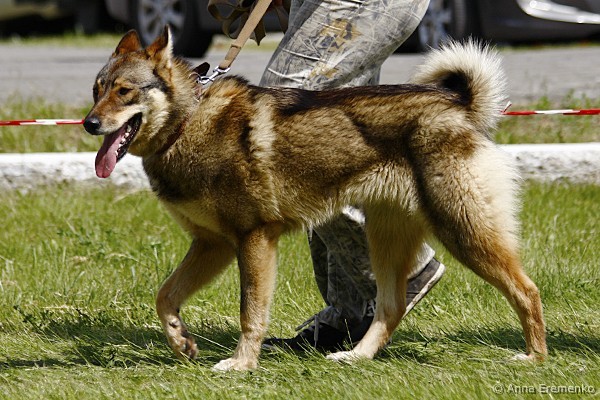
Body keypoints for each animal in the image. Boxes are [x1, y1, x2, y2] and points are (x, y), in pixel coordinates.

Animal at [84, 27, 547, 371]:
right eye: (96, 89)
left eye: (124, 91)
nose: (89, 123)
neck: (188, 121)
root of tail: (459, 106)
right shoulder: (213, 245)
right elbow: (165, 296)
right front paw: (182, 342)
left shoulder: (253, 240)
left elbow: (250, 313)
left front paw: (241, 365)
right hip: (386, 239)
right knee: (391, 307)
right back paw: (356, 356)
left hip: (465, 231)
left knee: (527, 290)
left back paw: (533, 356)